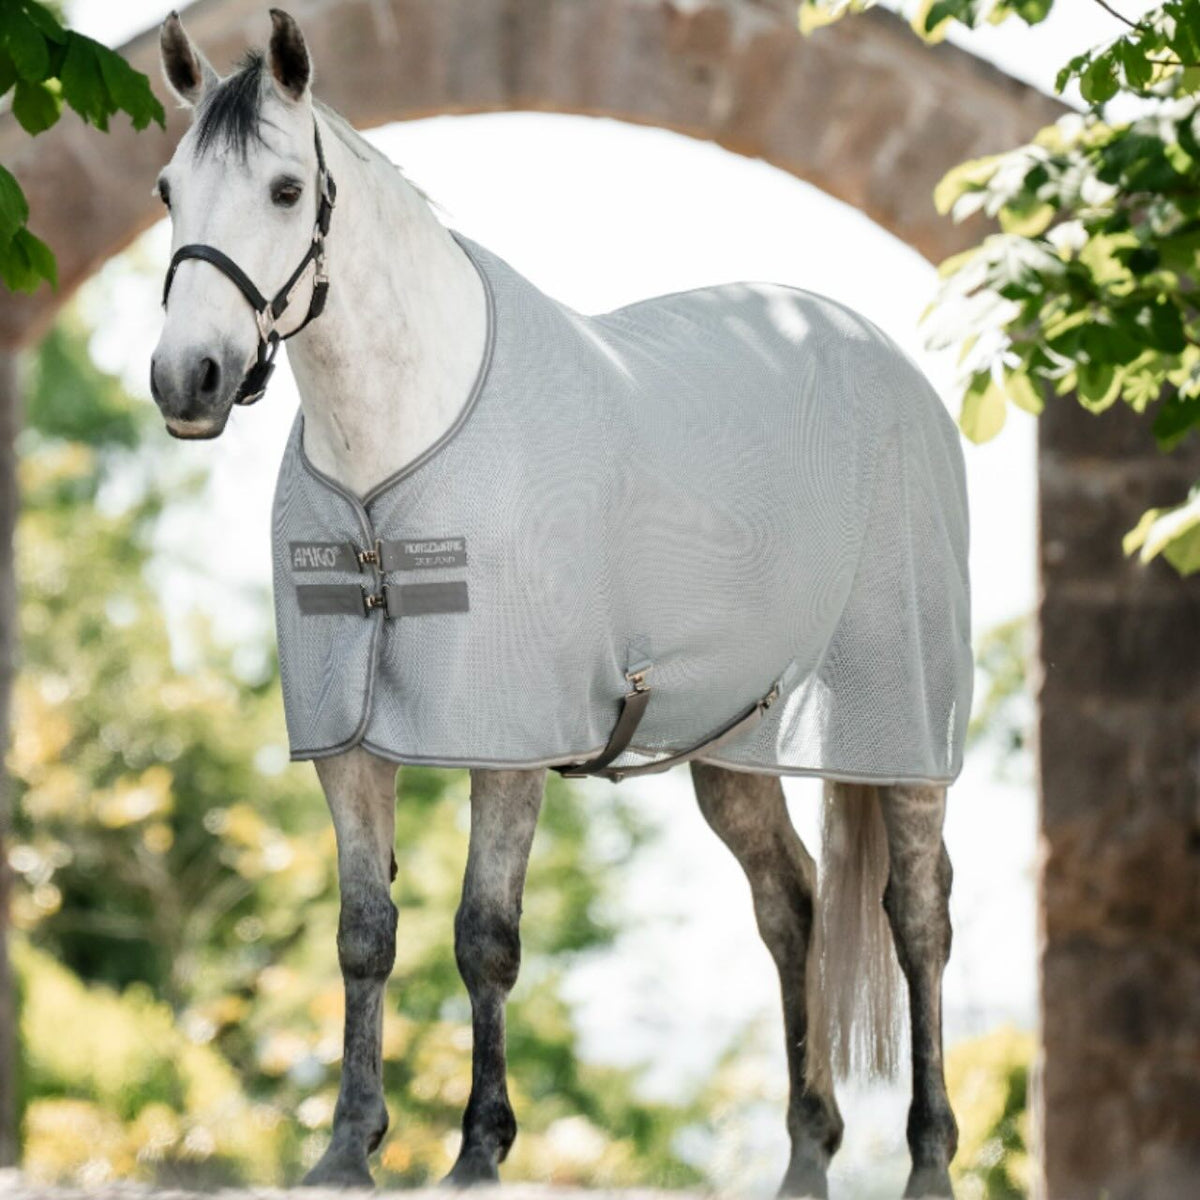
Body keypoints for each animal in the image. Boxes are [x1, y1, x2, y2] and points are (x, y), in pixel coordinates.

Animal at [149, 10, 965, 1198]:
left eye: (287, 190)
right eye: (167, 188)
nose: (188, 381)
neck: (398, 448)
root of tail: (883, 362)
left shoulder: (508, 742)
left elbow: (485, 934)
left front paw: (480, 1149)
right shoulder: (348, 743)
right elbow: (364, 933)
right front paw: (347, 1149)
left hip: (904, 729)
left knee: (916, 915)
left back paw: (931, 1157)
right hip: (738, 747)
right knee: (794, 906)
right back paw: (807, 1154)